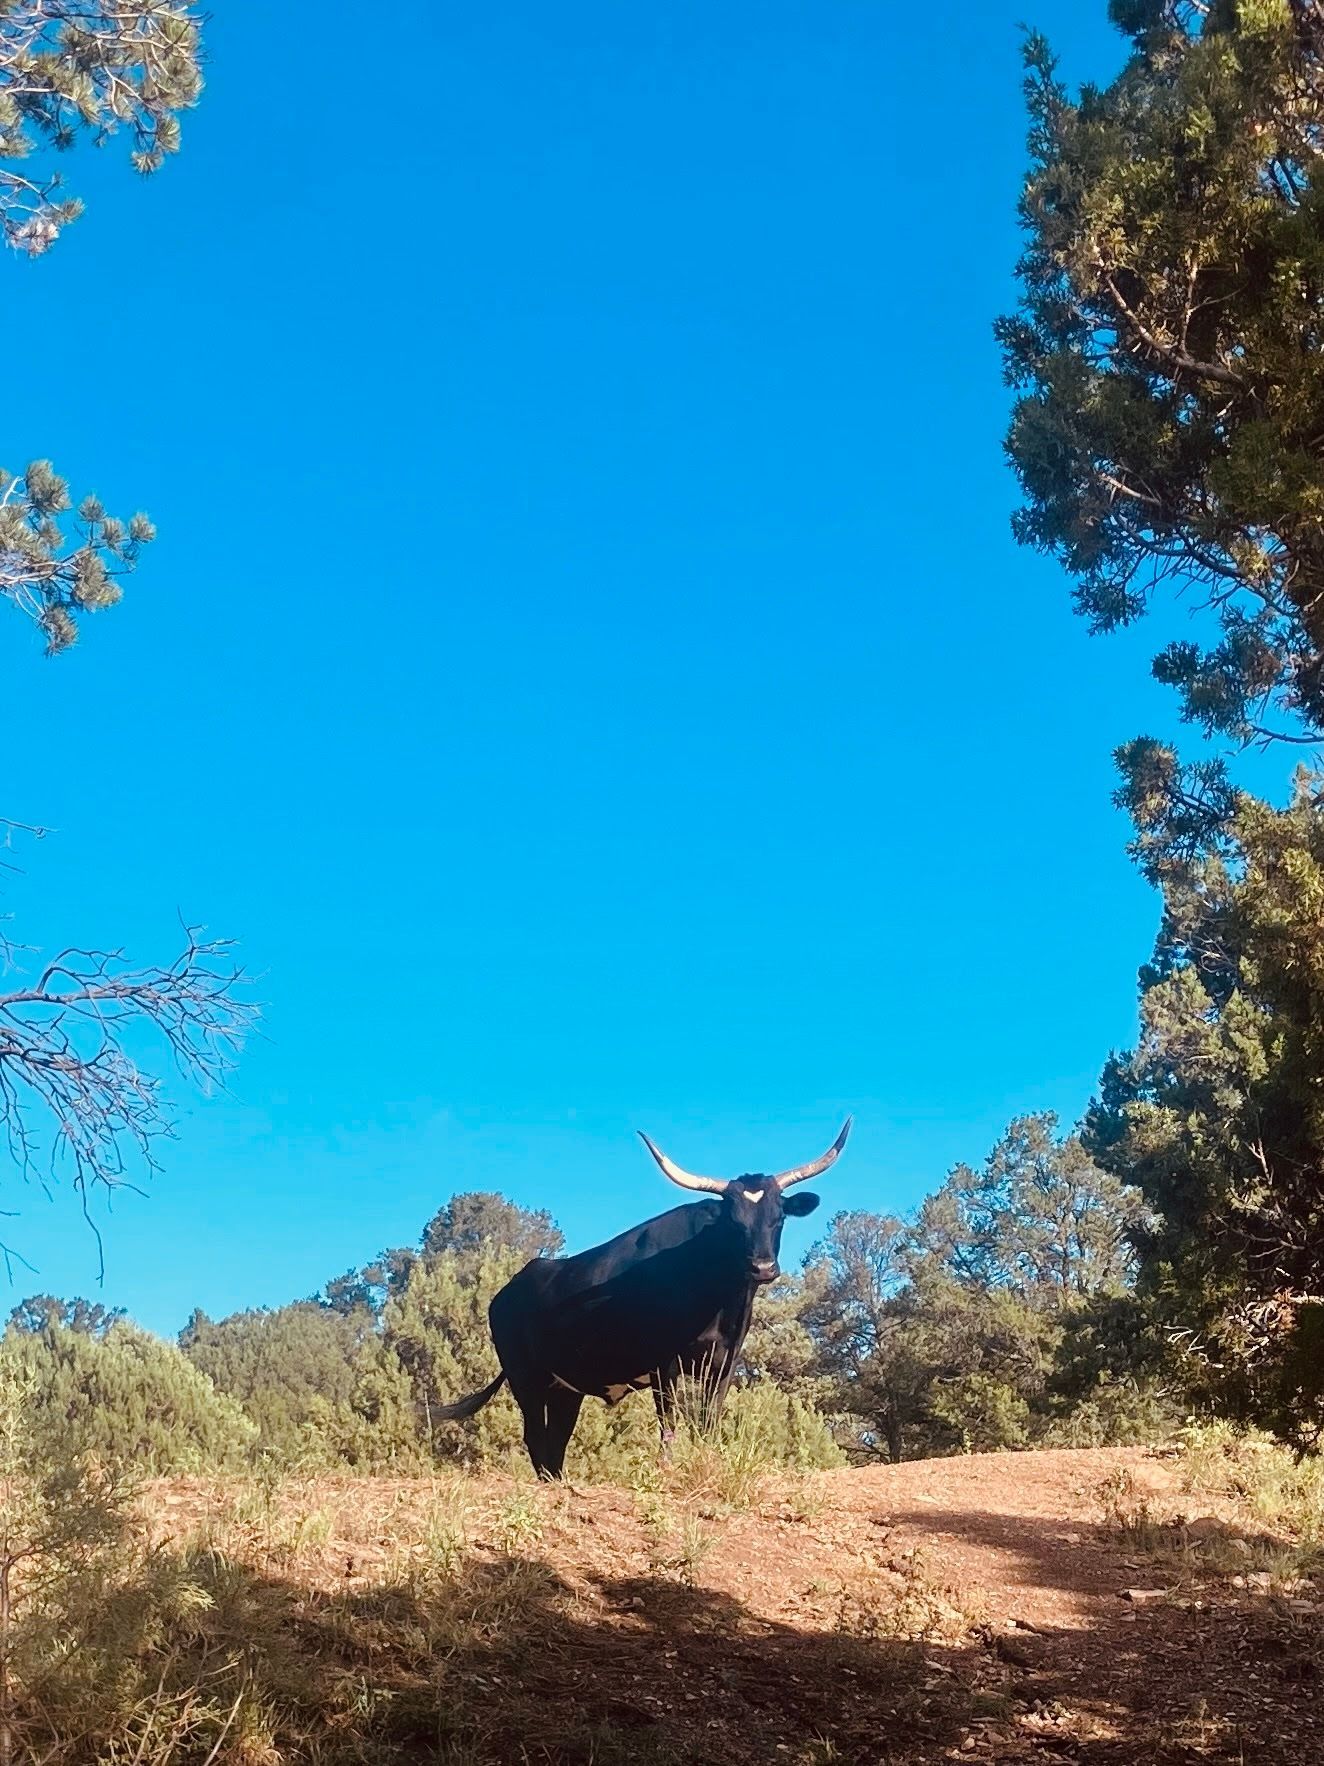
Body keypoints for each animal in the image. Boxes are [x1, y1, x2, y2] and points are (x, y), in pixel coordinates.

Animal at [434, 1119, 852, 1478]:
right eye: (734, 1221)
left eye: (778, 1217)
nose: (763, 1267)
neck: (720, 1299)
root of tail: (506, 1292)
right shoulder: (663, 1364)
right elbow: (669, 1425)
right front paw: (667, 1469)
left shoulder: (722, 1364)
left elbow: (708, 1423)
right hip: (526, 1378)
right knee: (536, 1436)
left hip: (565, 1389)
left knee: (556, 1441)